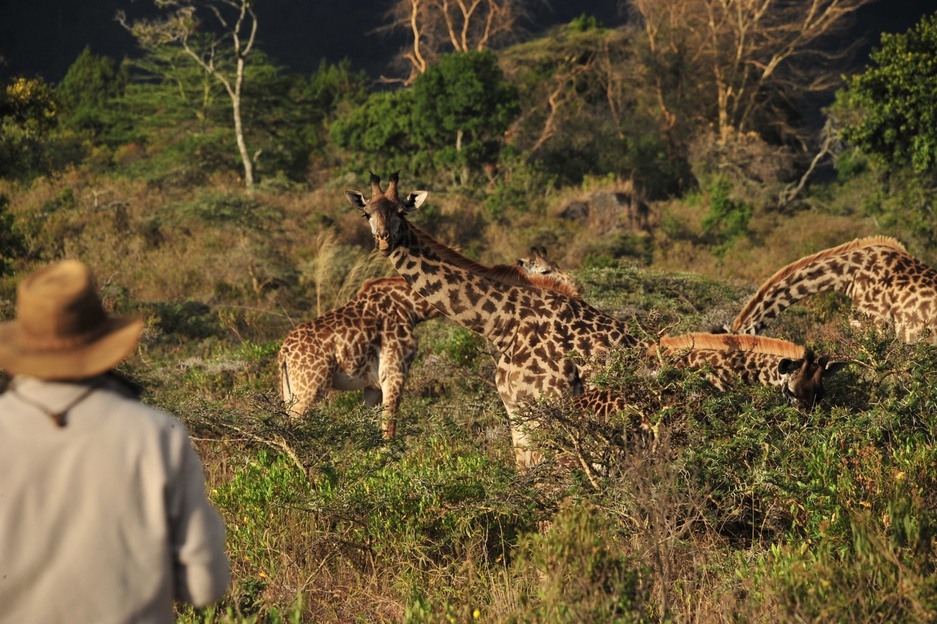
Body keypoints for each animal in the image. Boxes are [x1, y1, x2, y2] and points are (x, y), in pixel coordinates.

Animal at [348, 173, 640, 466]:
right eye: (366, 213)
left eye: (401, 211)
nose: (384, 240)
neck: (506, 325)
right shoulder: (516, 410)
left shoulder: (552, 403)